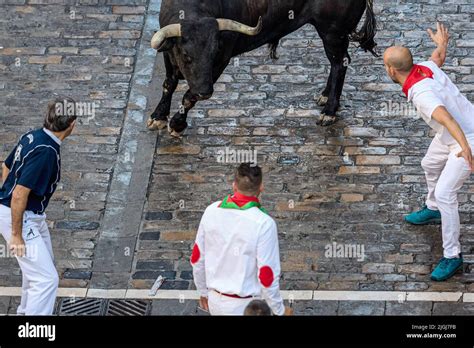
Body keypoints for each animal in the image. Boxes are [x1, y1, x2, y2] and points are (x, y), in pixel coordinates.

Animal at [148, 0, 378, 138]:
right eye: (187, 56)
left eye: (215, 52)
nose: (205, 92)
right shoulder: (168, 54)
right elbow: (169, 84)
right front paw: (158, 116)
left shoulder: (222, 60)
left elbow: (187, 96)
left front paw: (176, 124)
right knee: (337, 63)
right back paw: (324, 96)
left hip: (333, 31)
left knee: (340, 63)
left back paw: (329, 111)